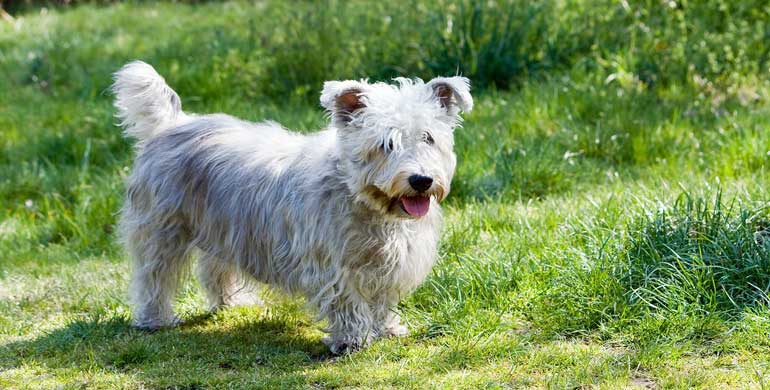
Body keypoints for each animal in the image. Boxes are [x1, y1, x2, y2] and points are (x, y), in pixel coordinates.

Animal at [112, 61, 472, 354]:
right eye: (386, 143)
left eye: (428, 137)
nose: (421, 180)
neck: (361, 198)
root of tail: (170, 124)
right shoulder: (331, 264)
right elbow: (347, 301)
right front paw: (351, 339)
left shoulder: (391, 262)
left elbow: (382, 299)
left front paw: (387, 327)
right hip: (162, 231)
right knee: (154, 277)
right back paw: (154, 319)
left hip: (224, 228)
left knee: (215, 269)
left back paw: (231, 303)